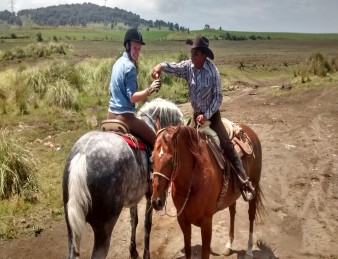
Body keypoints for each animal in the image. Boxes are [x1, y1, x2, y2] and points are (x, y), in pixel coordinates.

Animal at [60, 98, 182, 258]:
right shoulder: (149, 195)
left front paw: (133, 251)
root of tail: (83, 154)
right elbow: (147, 225)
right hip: (104, 228)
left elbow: (134, 221)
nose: (160, 203)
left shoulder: (134, 197)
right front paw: (145, 254)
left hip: (71, 227)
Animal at [151, 124, 264, 259]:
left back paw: (249, 250)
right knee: (232, 212)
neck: (192, 183)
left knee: (251, 215)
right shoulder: (183, 221)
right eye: (152, 158)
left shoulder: (206, 224)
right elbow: (188, 251)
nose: (156, 201)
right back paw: (229, 245)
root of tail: (249, 130)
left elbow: (205, 254)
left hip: (255, 184)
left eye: (170, 161)